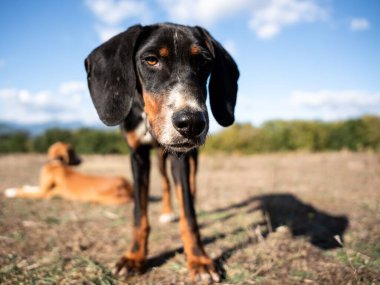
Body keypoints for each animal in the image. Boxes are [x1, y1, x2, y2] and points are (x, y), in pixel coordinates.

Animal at [3, 141, 132, 204]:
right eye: (73, 151)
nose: (82, 159)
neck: (56, 164)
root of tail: (124, 184)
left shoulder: (44, 193)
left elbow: (23, 193)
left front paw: (10, 192)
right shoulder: (43, 188)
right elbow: (30, 188)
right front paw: (20, 187)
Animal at [85, 22, 239, 282]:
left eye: (204, 62)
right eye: (151, 60)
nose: (192, 123)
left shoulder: (182, 156)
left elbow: (188, 214)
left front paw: (199, 260)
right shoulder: (137, 156)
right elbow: (139, 214)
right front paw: (134, 257)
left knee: (189, 184)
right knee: (166, 183)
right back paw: (167, 212)